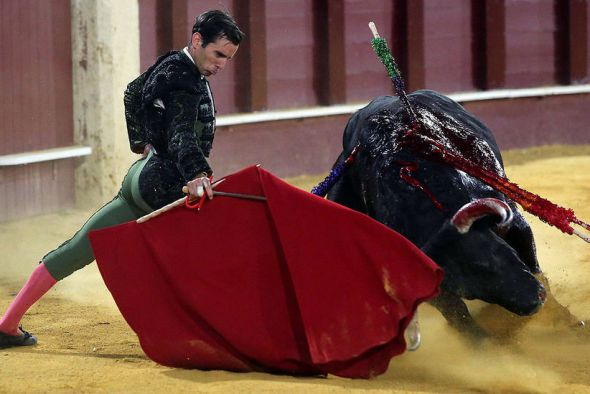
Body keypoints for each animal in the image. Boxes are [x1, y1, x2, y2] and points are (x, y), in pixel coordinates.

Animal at [326, 90, 548, 338]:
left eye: (501, 253)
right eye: (473, 287)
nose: (537, 299)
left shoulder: (514, 223)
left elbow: (534, 264)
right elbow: (459, 317)